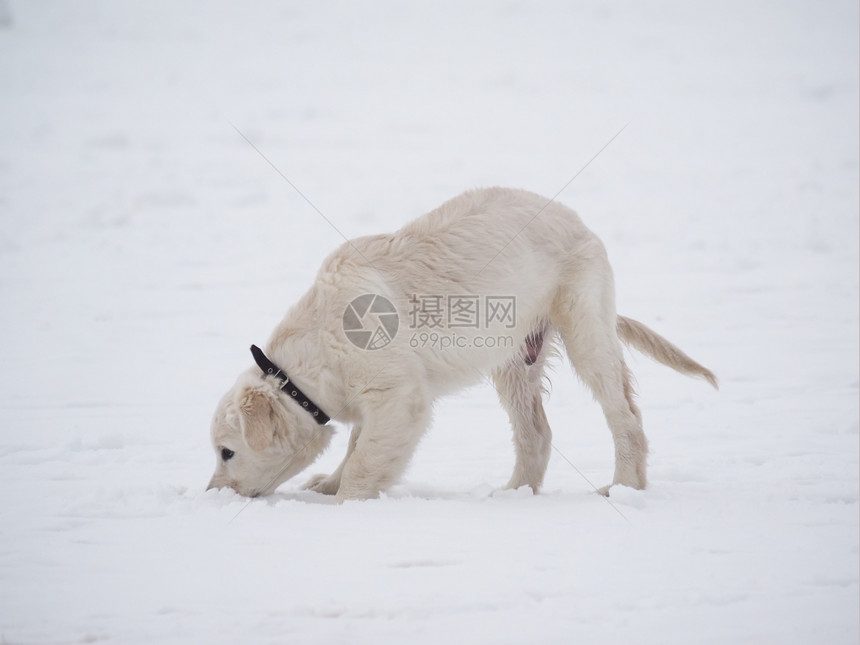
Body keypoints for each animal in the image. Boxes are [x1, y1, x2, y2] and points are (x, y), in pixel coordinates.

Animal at [205, 186, 716, 498]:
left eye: (227, 451)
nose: (212, 494)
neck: (309, 357)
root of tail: (580, 222)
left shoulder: (400, 395)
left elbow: (364, 460)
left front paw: (344, 500)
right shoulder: (376, 397)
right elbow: (357, 446)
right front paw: (328, 484)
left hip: (585, 329)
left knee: (625, 416)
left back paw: (623, 486)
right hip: (514, 359)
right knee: (536, 432)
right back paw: (514, 494)